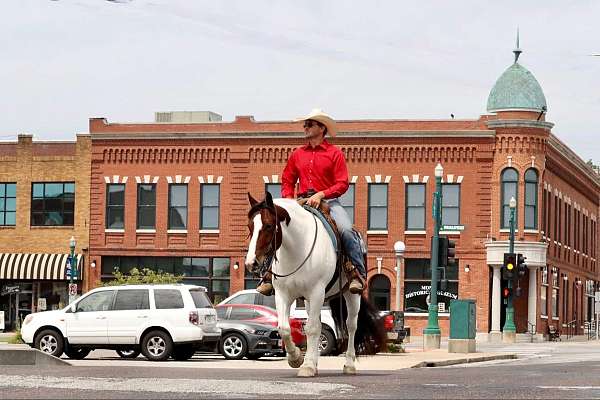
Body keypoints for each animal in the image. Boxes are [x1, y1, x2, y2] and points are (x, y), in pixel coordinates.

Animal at [244, 192, 384, 376]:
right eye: (250, 226)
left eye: (268, 225)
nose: (251, 263)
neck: (297, 249)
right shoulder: (283, 294)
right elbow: (285, 328)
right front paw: (296, 358)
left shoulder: (317, 292)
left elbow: (311, 328)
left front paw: (307, 366)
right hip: (310, 301)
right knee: (317, 324)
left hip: (351, 295)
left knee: (350, 326)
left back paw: (349, 364)